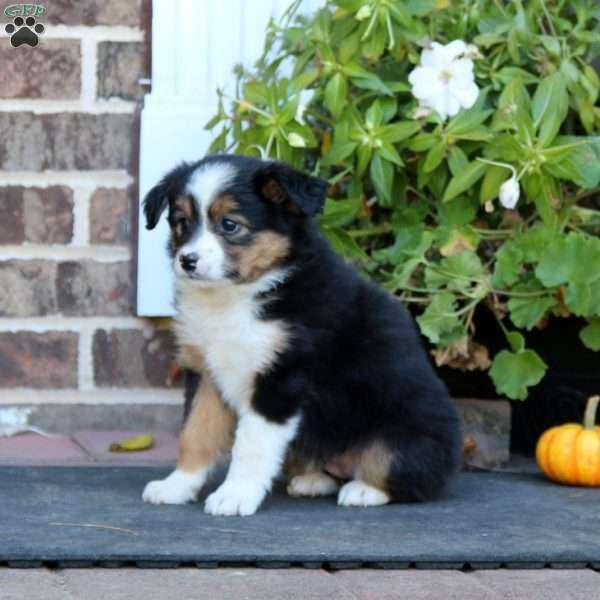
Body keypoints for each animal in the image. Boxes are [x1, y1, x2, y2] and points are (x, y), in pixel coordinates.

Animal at [143, 155, 462, 516]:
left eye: (230, 225)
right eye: (181, 222)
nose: (187, 261)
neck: (238, 295)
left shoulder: (281, 377)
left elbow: (250, 445)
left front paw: (234, 496)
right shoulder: (206, 371)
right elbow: (195, 432)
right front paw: (177, 485)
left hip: (402, 431)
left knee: (405, 474)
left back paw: (363, 490)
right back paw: (313, 479)